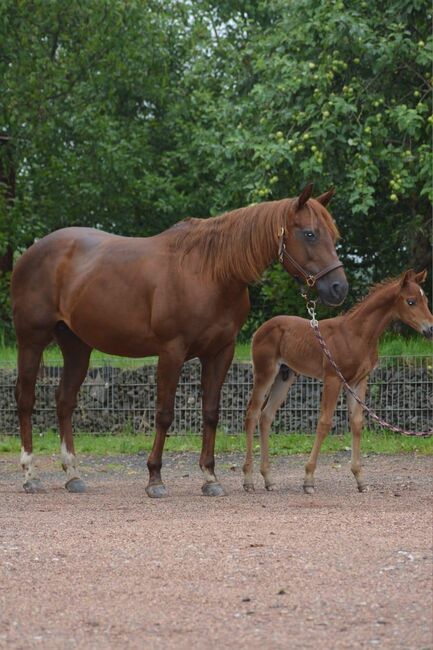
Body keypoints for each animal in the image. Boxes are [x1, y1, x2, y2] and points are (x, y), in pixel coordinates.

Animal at [243, 268, 432, 492]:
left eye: (426, 300)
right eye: (411, 301)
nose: (430, 329)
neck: (357, 334)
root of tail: (259, 330)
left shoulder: (358, 381)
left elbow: (357, 423)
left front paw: (360, 479)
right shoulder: (333, 379)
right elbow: (325, 422)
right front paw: (308, 479)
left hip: (284, 376)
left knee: (266, 416)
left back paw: (269, 479)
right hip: (265, 373)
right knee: (252, 413)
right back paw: (248, 480)